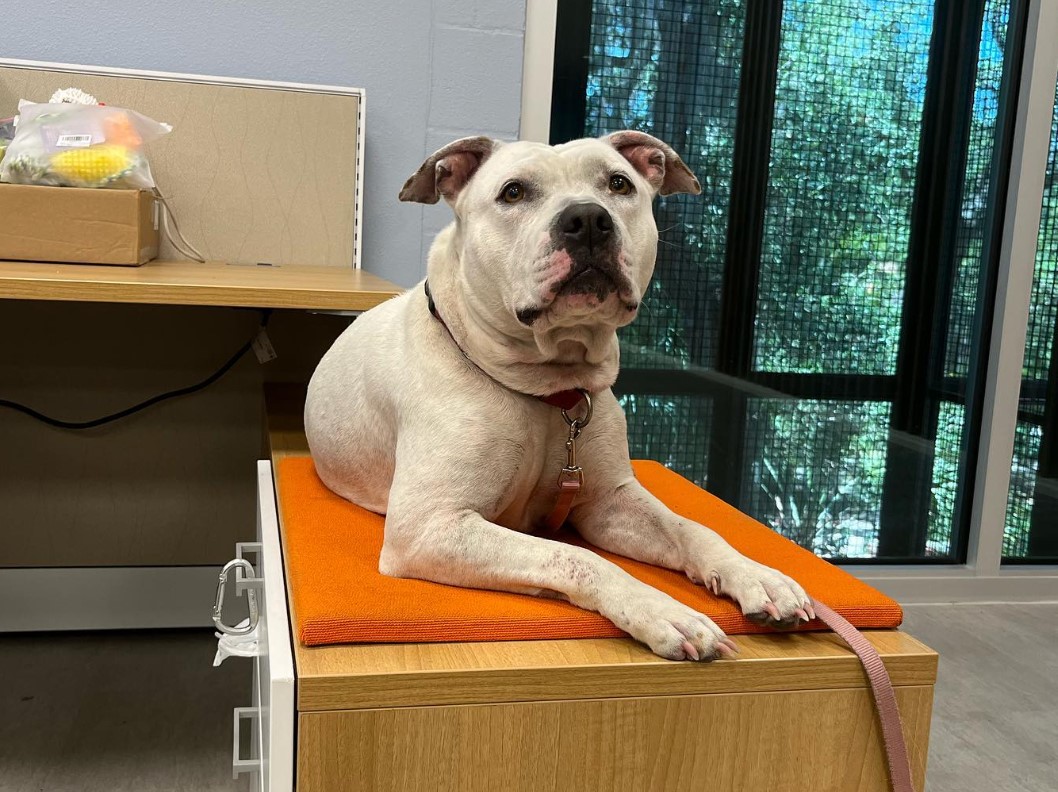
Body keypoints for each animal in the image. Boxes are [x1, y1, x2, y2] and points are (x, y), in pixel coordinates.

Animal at [302, 134, 812, 659]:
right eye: (513, 192)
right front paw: (663, 611)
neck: (549, 389)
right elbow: (575, 557)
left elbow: (690, 528)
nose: (587, 218)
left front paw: (755, 575)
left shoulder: (609, 501)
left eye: (618, 183)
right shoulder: (429, 525)